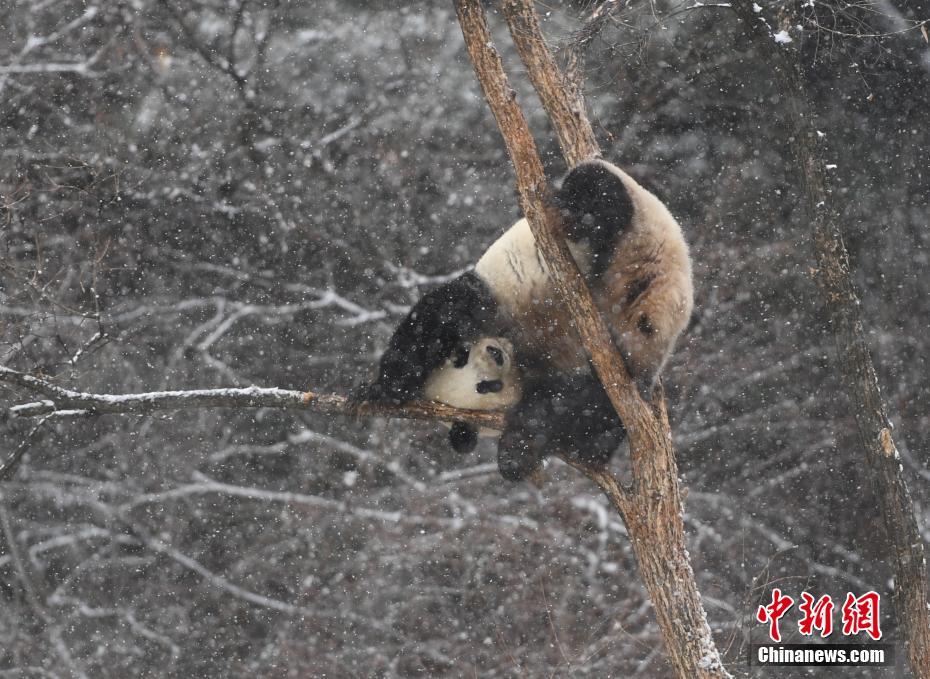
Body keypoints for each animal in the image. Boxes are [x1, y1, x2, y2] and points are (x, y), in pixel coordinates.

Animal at [352, 159, 692, 480]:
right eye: (486, 387)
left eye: (462, 355)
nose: (494, 354)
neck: (516, 345)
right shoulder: (550, 373)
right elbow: (567, 404)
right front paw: (517, 454)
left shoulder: (487, 303)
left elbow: (434, 321)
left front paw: (377, 390)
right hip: (633, 352)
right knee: (609, 402)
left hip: (636, 221)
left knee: (600, 193)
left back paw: (568, 214)